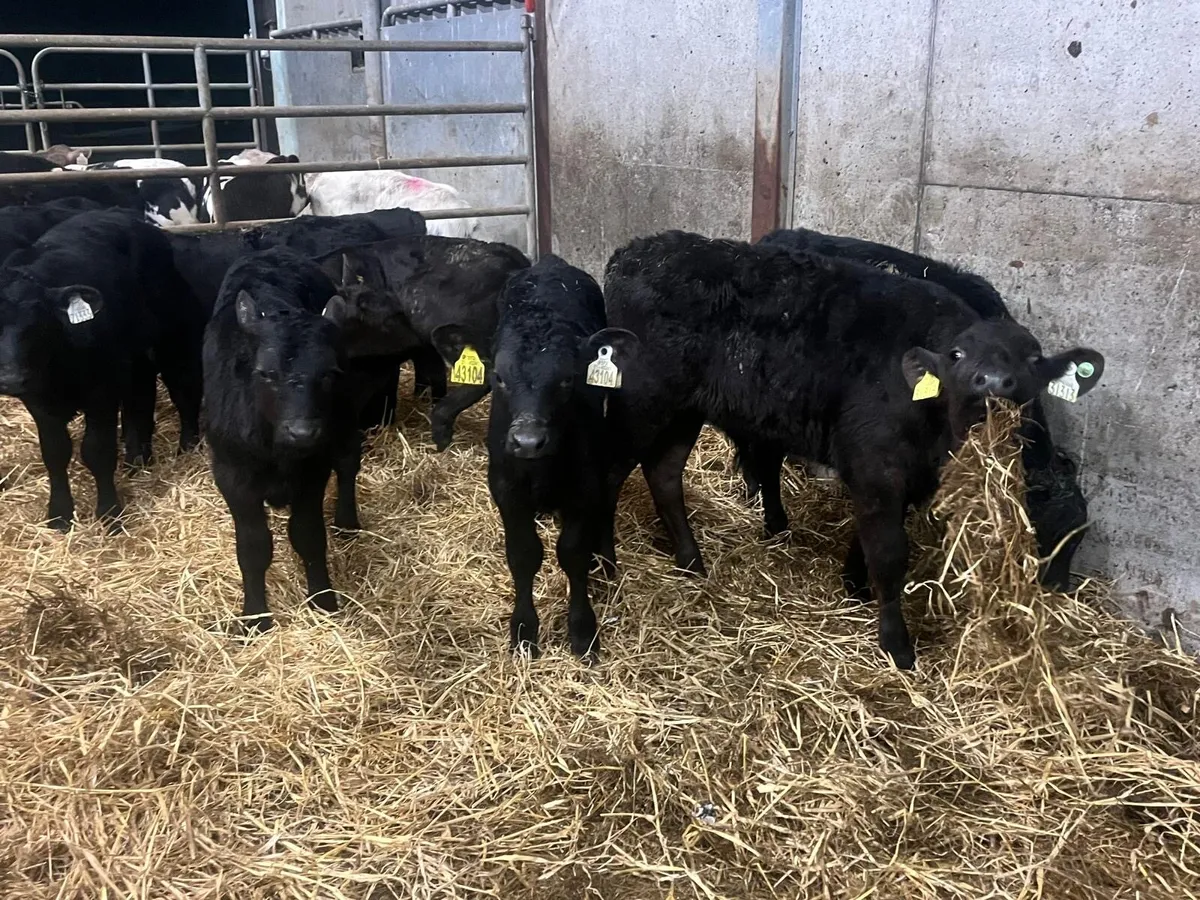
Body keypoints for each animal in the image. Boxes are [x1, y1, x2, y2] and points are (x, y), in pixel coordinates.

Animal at [0, 209, 208, 530]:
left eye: (38, 321)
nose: (10, 379)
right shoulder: (39, 403)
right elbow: (55, 452)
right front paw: (59, 514)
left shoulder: (101, 393)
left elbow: (97, 451)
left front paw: (110, 513)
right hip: (136, 359)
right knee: (140, 399)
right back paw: (138, 456)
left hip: (173, 339)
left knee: (183, 391)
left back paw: (187, 446)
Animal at [202, 247, 366, 632]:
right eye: (266, 373)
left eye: (329, 373)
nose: (302, 432)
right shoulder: (231, 474)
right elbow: (253, 547)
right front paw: (255, 616)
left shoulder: (314, 469)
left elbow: (308, 535)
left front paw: (323, 599)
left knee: (349, 460)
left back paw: (347, 520)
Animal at [473, 254, 627, 660]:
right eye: (498, 377)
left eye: (568, 379)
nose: (528, 441)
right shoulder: (505, 488)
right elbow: (524, 554)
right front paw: (524, 631)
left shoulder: (585, 487)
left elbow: (572, 553)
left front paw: (583, 631)